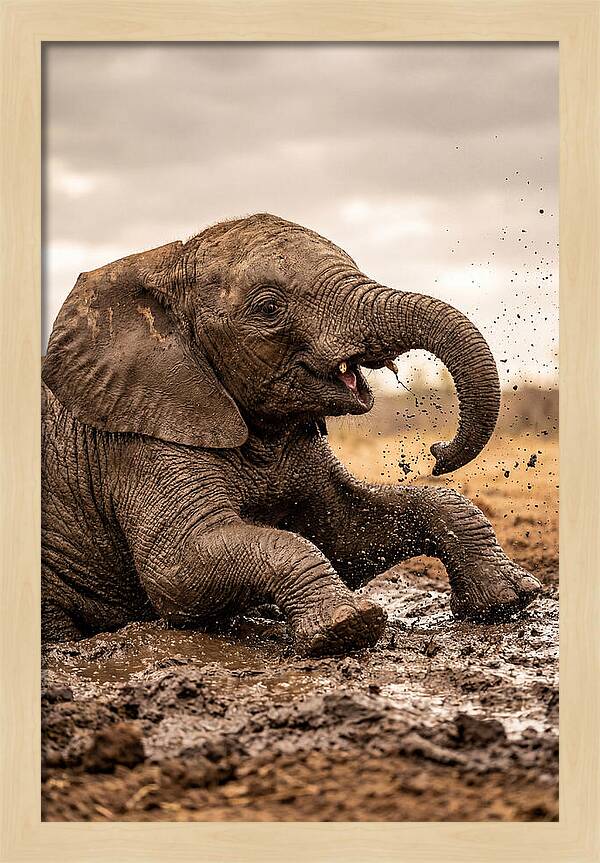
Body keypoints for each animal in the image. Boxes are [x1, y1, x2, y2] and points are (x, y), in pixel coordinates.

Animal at [41, 213, 542, 655]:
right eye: (268, 308)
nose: (437, 452)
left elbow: (346, 532)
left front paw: (511, 600)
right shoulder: (138, 442)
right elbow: (178, 570)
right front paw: (348, 627)